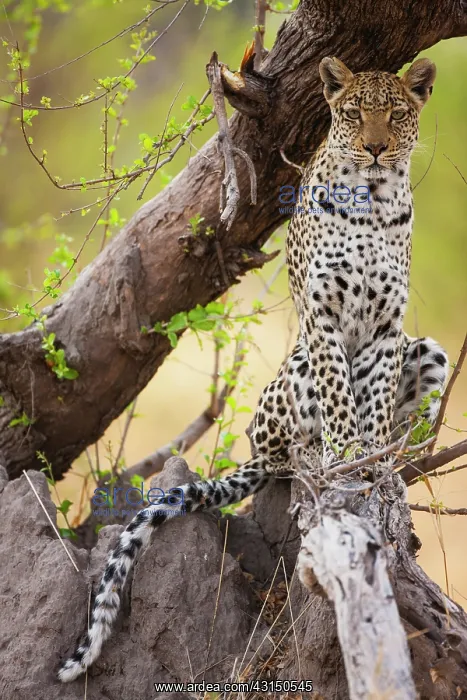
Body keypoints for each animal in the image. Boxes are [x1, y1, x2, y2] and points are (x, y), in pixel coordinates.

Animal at [58, 56, 449, 682]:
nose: (376, 148)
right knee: (289, 449)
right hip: (291, 378)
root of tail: (256, 455)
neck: (373, 199)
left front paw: (372, 459)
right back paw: (311, 455)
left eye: (396, 114)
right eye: (353, 113)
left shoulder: (391, 326)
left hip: (428, 348)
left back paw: (394, 454)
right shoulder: (322, 316)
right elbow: (340, 394)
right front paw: (345, 454)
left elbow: (377, 397)